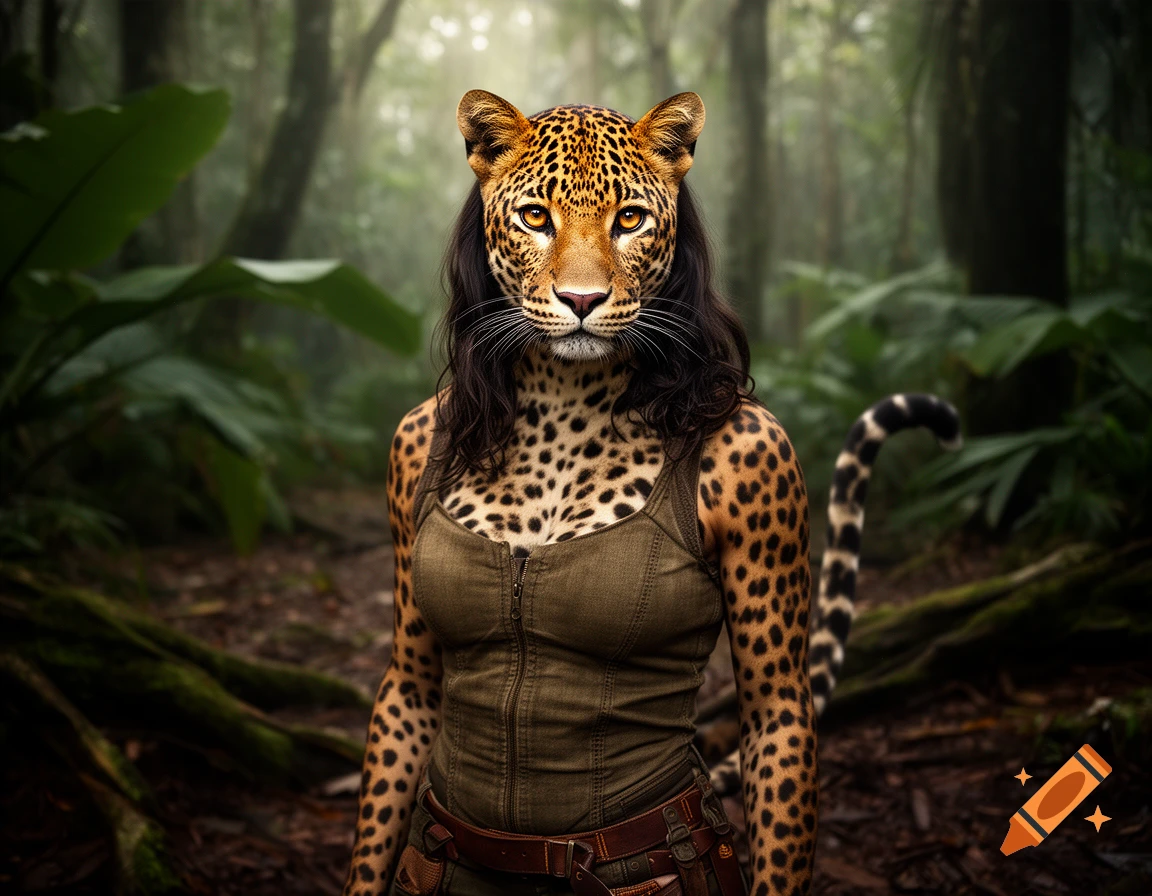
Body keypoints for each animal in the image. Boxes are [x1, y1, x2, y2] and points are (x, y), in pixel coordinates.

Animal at [343, 89, 960, 896]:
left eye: (630, 219)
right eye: (535, 217)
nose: (581, 299)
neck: (562, 394)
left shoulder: (764, 458)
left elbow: (777, 719)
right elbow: (411, 695)